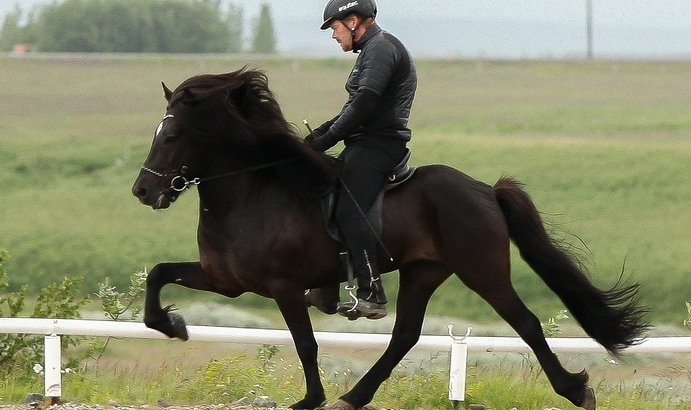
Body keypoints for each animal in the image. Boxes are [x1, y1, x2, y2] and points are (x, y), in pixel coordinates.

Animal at [131, 68, 648, 410]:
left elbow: (305, 344)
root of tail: (485, 190)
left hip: (482, 271)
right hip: (424, 272)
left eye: (172, 136)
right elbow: (158, 274)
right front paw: (172, 325)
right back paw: (354, 396)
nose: (143, 192)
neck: (250, 192)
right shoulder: (225, 280)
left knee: (526, 323)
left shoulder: (283, 287)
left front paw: (309, 400)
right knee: (405, 336)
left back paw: (576, 389)